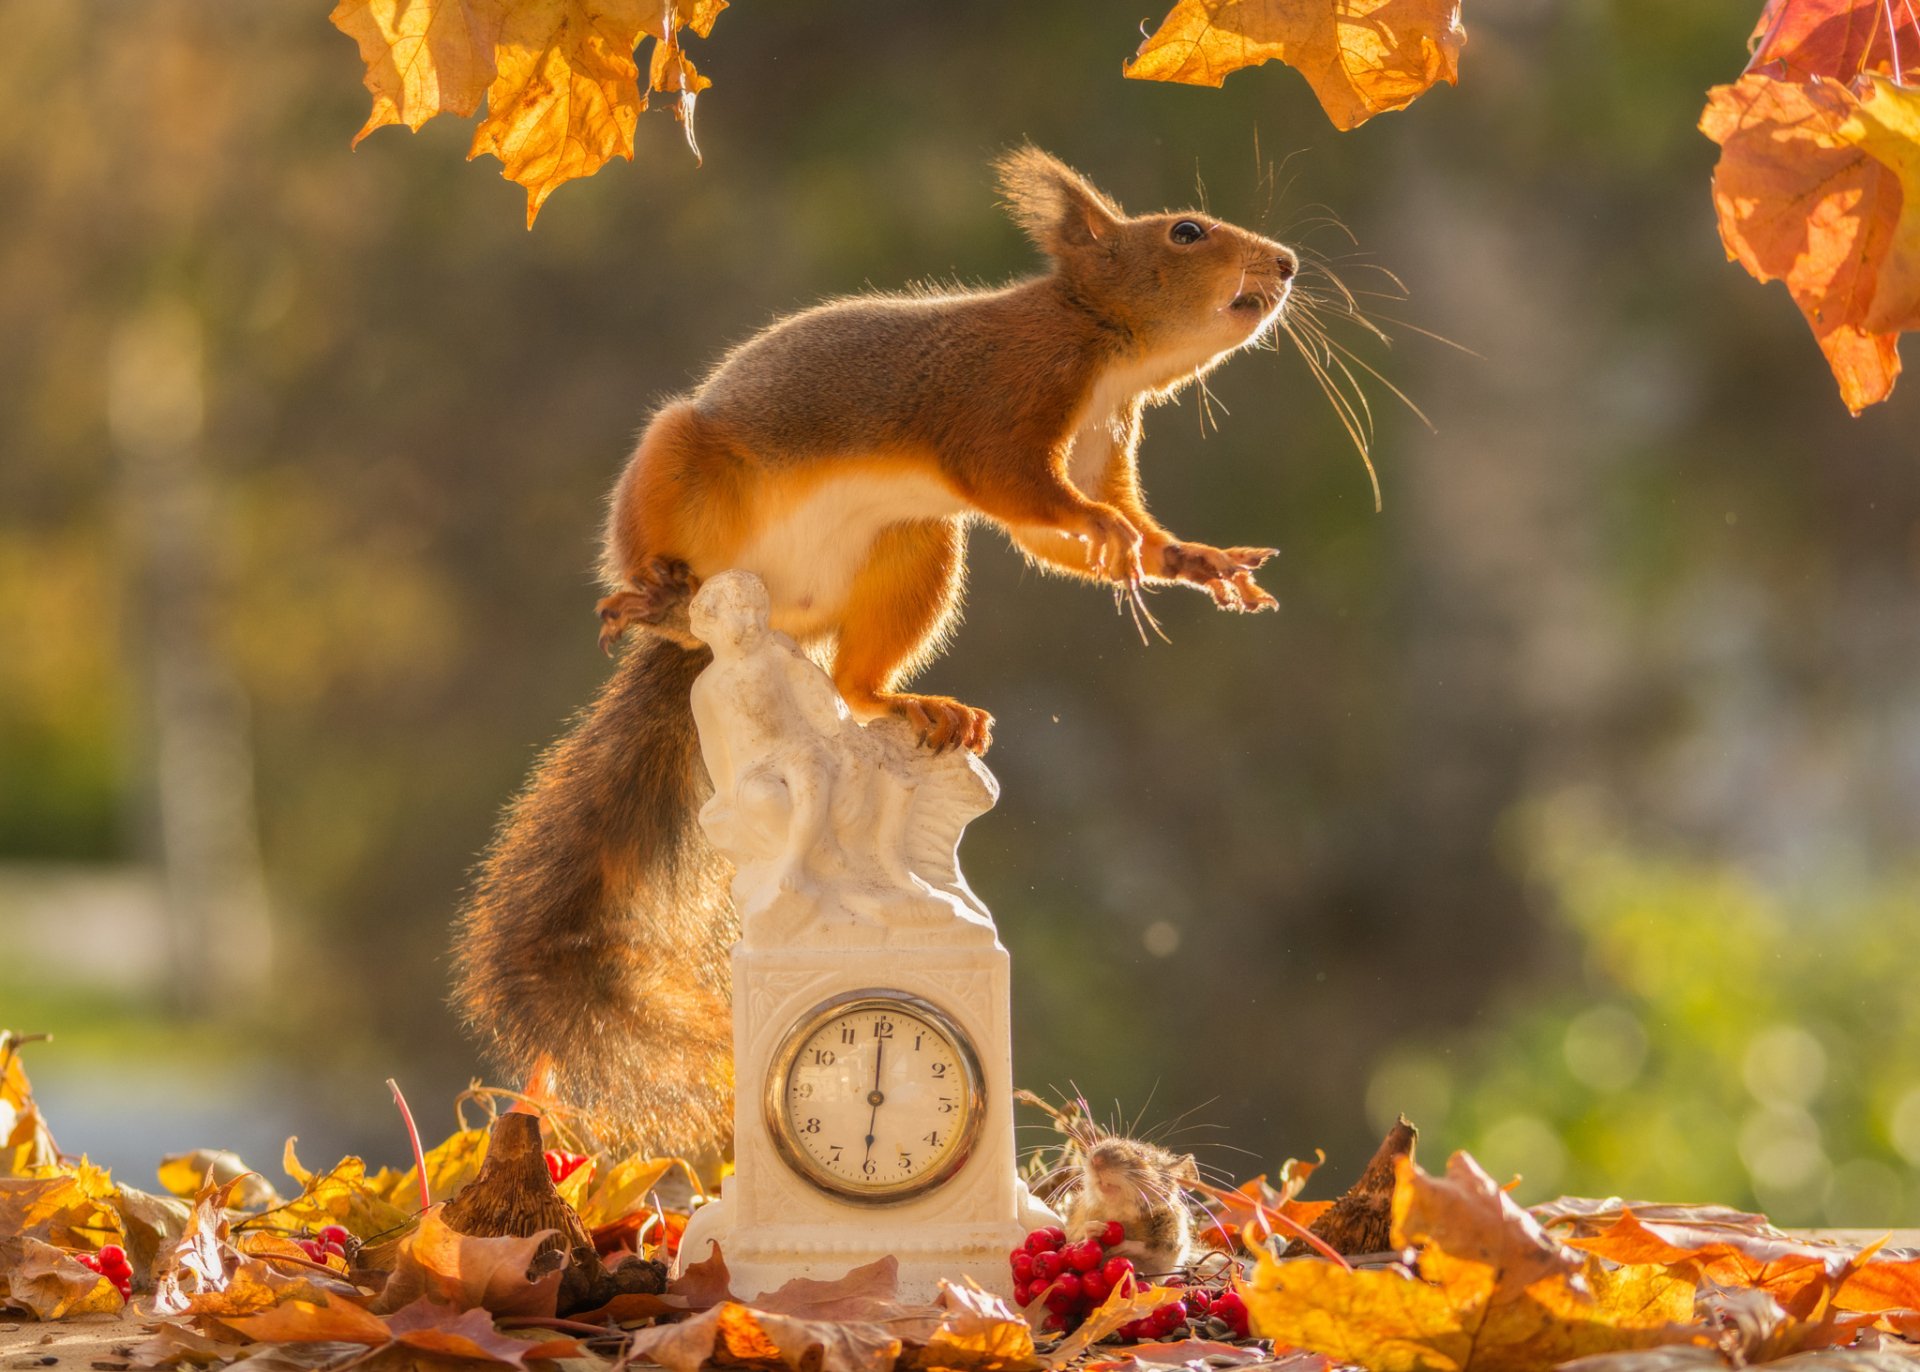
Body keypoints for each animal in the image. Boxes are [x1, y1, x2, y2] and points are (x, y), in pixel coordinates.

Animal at [453, 147, 1299, 1162]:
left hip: (912, 544)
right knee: (666, 572)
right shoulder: (1005, 396)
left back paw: (912, 704)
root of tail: (754, 614)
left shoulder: (1103, 437)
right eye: (1185, 231)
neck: (1101, 346)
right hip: (684, 469)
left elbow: (1066, 534)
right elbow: (1016, 484)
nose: (1288, 264)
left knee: (853, 681)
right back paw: (652, 593)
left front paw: (1188, 559)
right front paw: (1108, 530)